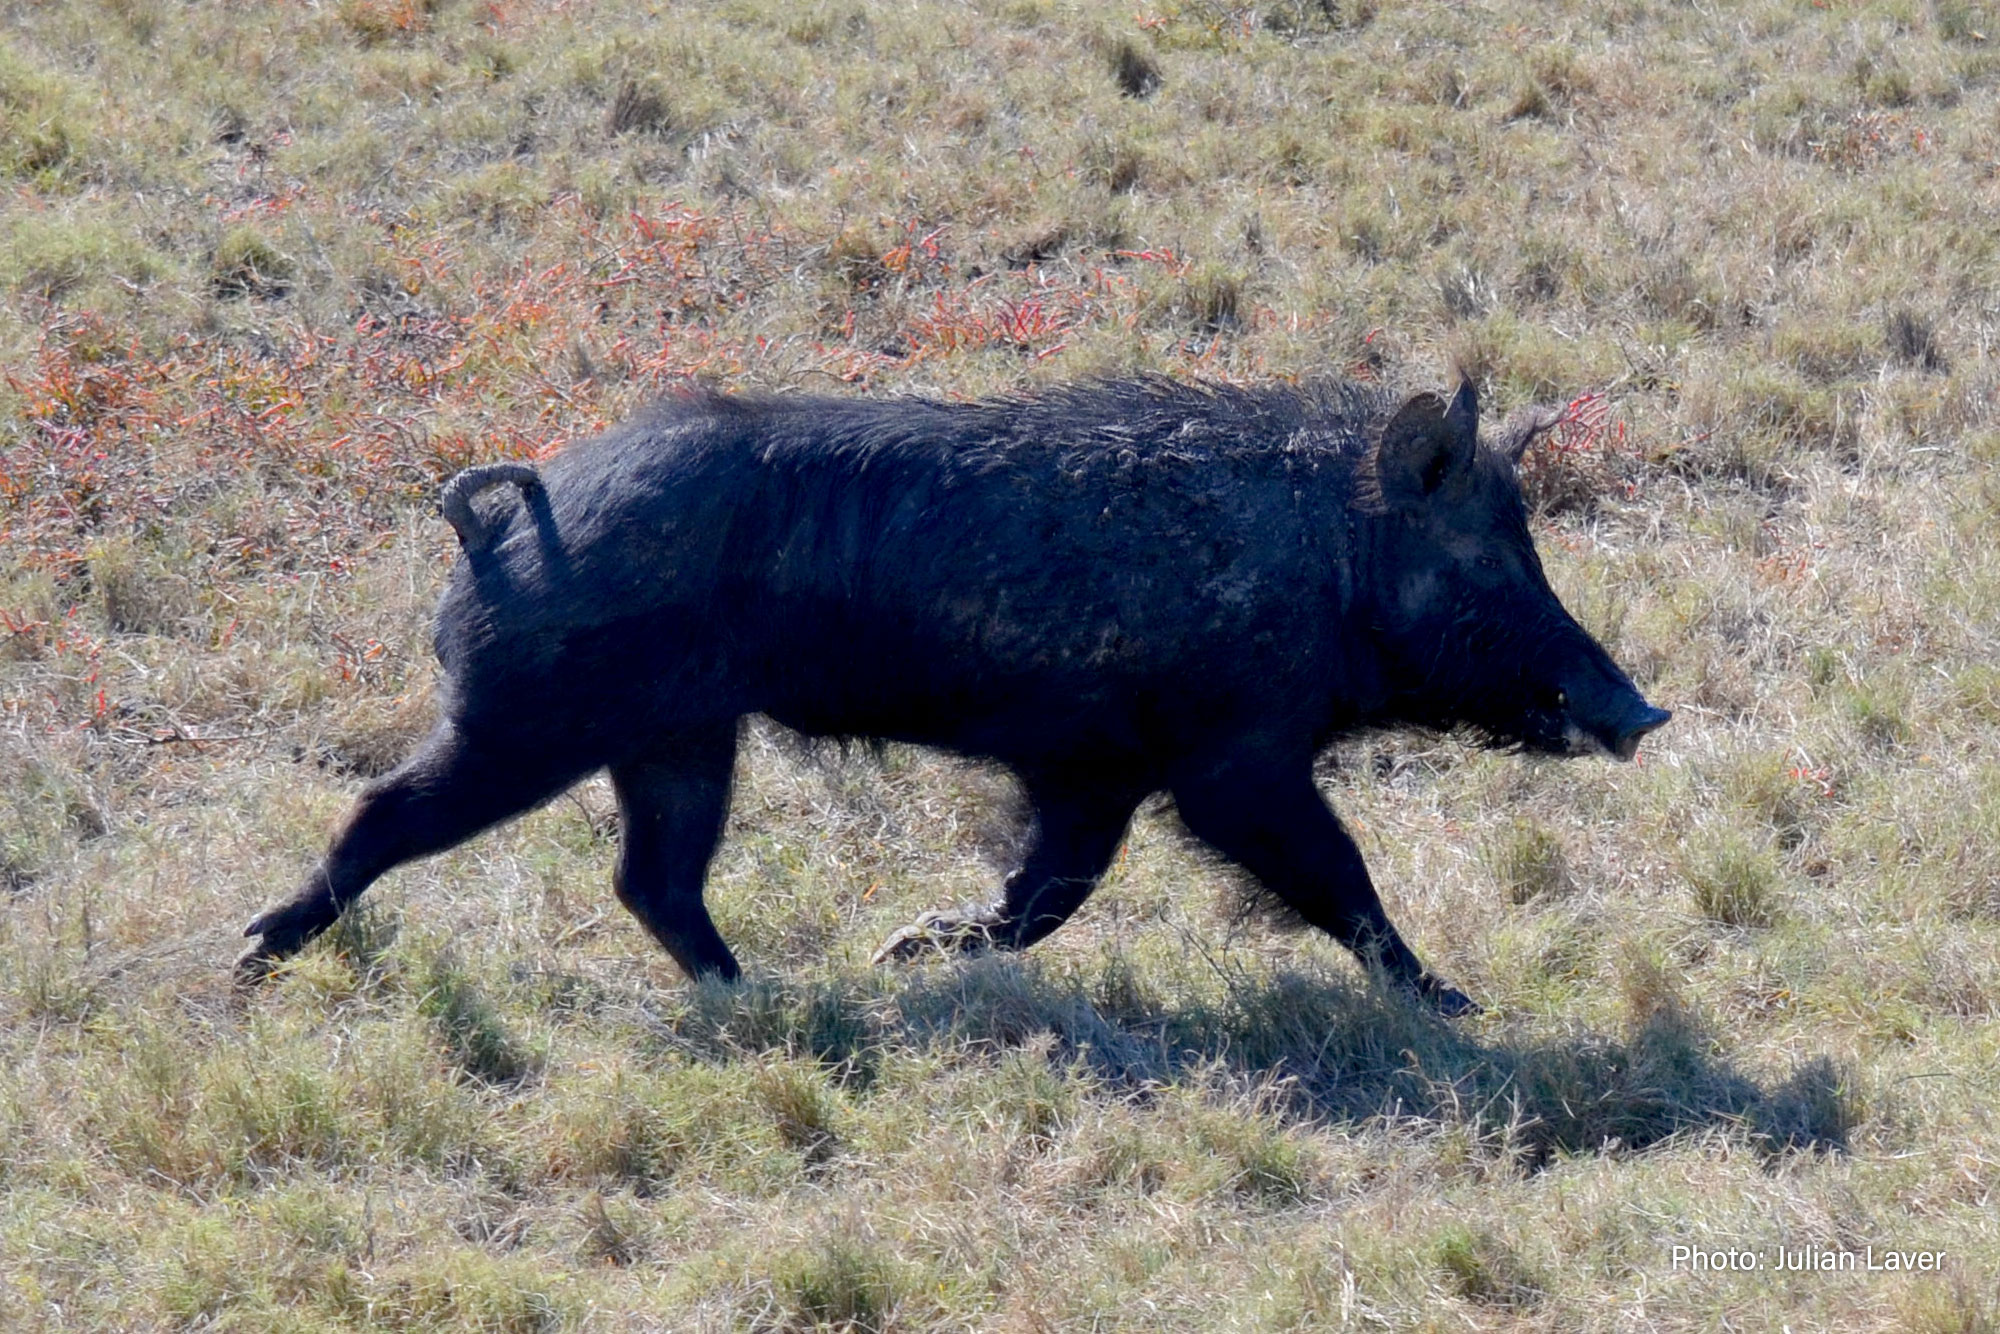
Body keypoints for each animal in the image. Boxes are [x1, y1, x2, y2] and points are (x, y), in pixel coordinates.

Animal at [242, 376, 1664, 1012]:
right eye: (1482, 557)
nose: (1640, 712)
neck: (1323, 558)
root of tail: (500, 519)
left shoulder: (1092, 773)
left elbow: (1044, 894)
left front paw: (901, 951)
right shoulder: (1230, 760)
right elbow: (1337, 875)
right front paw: (1459, 1007)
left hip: (679, 737)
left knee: (652, 878)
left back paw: (771, 997)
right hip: (529, 723)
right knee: (383, 814)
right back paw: (256, 955)